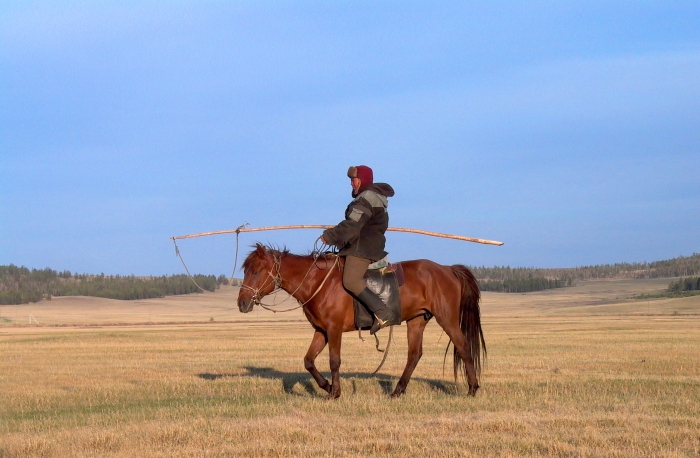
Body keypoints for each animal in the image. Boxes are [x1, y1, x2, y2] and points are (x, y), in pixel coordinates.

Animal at [238, 243, 484, 400]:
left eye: (257, 271)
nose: (242, 303)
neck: (318, 282)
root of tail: (447, 269)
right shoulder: (321, 331)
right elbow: (308, 361)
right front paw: (327, 387)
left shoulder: (334, 329)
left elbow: (334, 361)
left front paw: (335, 393)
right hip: (416, 320)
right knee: (414, 354)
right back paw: (397, 391)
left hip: (447, 318)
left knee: (463, 346)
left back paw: (472, 389)